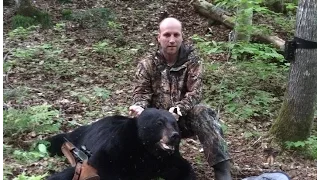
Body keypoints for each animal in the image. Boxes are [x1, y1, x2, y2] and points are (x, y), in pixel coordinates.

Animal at [45, 108, 195, 180]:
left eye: (174, 124)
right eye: (159, 123)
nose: (174, 136)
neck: (147, 150)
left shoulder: (167, 160)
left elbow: (185, 169)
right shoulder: (117, 148)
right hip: (81, 134)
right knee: (61, 139)